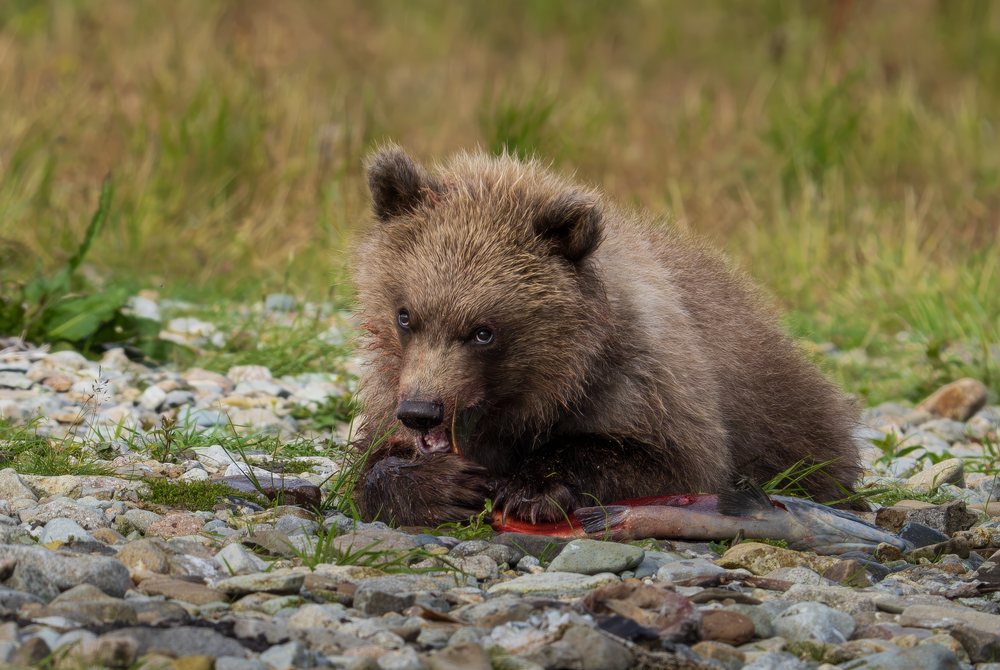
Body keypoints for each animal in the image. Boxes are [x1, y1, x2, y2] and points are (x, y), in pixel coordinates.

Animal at [352, 145, 863, 526]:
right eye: (405, 315)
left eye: (483, 332)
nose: (421, 411)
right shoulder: (390, 385)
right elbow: (371, 459)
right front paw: (441, 487)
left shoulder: (643, 381)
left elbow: (665, 461)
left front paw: (531, 488)